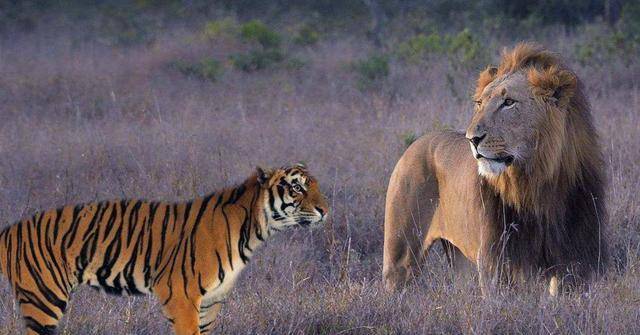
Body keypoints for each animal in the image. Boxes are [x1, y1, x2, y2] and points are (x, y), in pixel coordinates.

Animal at [0, 164, 328, 334]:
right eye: (297, 188)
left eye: (315, 186)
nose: (326, 210)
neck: (254, 230)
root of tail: (11, 229)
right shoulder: (181, 297)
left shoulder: (211, 302)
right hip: (44, 299)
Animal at [382, 42, 608, 296]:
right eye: (480, 103)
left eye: (508, 102)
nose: (472, 138)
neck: (539, 184)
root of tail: (416, 142)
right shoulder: (497, 263)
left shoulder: (575, 260)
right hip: (401, 255)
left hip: (460, 260)